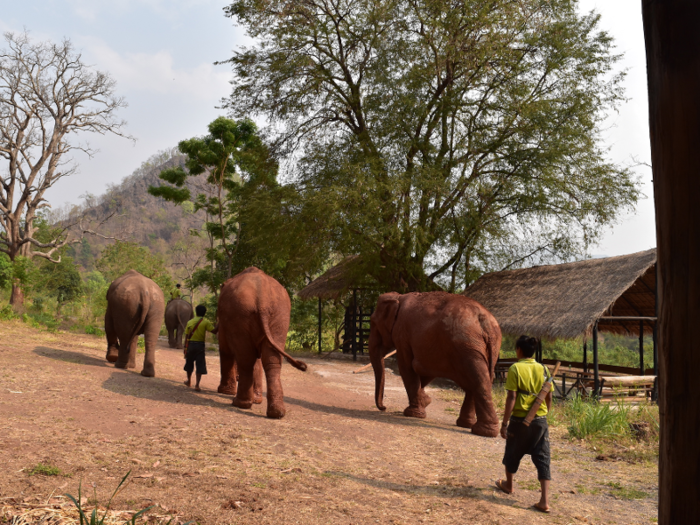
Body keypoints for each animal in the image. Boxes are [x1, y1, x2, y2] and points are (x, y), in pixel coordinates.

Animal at [219, 266, 306, 418]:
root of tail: (263, 301)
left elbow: (226, 349)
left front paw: (224, 392)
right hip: (280, 315)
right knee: (271, 359)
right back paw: (276, 413)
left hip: (241, 314)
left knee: (246, 358)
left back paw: (240, 404)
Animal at [370, 290, 500, 438]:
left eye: (372, 322)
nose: (384, 407)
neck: (398, 297)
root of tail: (485, 321)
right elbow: (425, 369)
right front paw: (426, 401)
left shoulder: (402, 334)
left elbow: (407, 367)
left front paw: (414, 413)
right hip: (485, 348)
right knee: (479, 379)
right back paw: (468, 425)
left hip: (466, 346)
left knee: (477, 380)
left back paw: (483, 431)